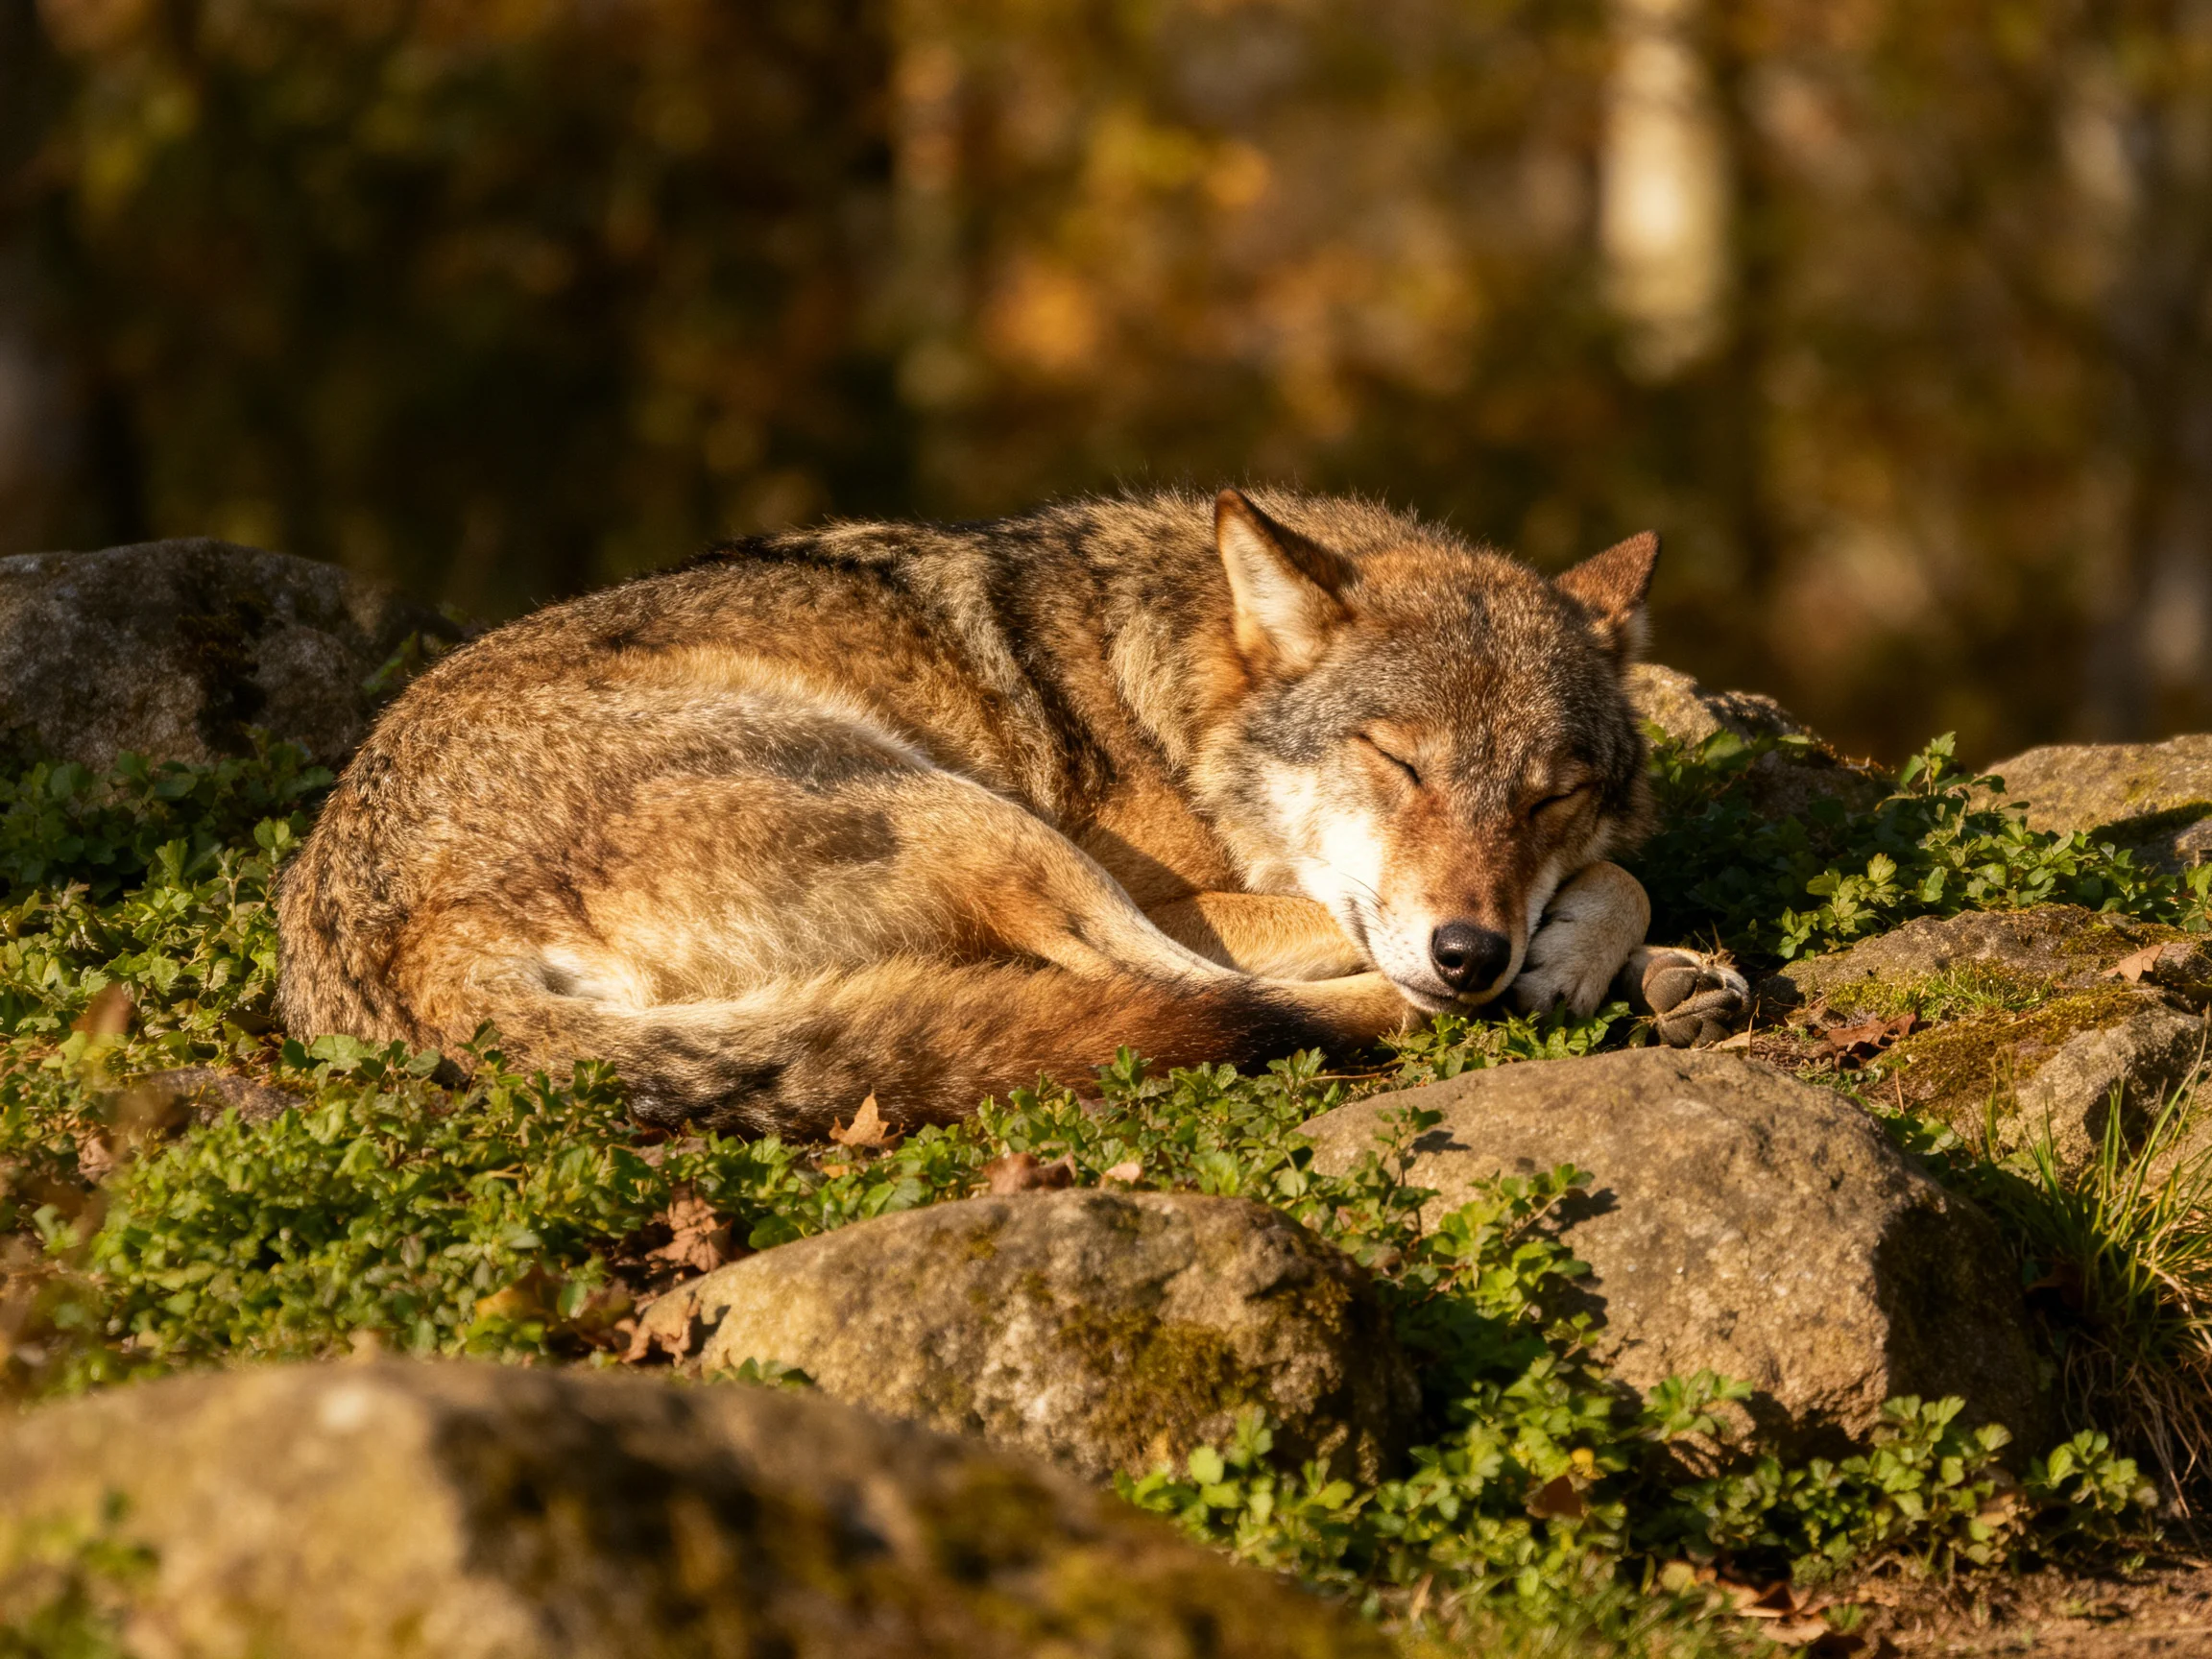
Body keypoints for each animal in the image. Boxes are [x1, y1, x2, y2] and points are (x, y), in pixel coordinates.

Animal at [276, 489, 1748, 1136]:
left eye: (1553, 793)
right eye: (1399, 763)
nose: (1473, 952)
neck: (1175, 700)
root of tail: (387, 952)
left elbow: (1620, 879)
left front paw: (1627, 962)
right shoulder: (1183, 891)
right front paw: (1593, 971)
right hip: (970, 816)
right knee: (1200, 1000)